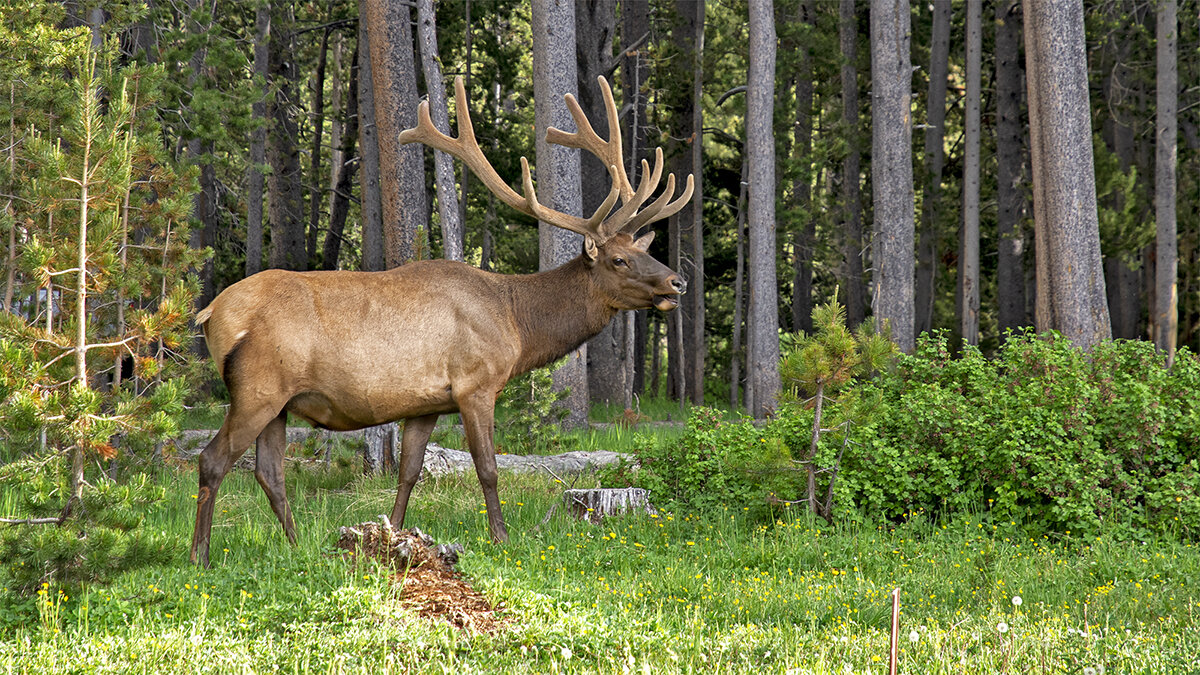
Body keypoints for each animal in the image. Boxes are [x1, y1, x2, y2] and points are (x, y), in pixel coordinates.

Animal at [188, 74, 696, 562]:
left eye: (642, 250)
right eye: (618, 260)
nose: (677, 283)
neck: (516, 324)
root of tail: (210, 313)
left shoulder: (426, 404)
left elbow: (409, 472)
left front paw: (391, 538)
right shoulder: (476, 383)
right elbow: (488, 469)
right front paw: (501, 538)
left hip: (278, 402)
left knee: (269, 472)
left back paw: (297, 546)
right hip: (257, 387)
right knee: (212, 460)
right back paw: (200, 556)